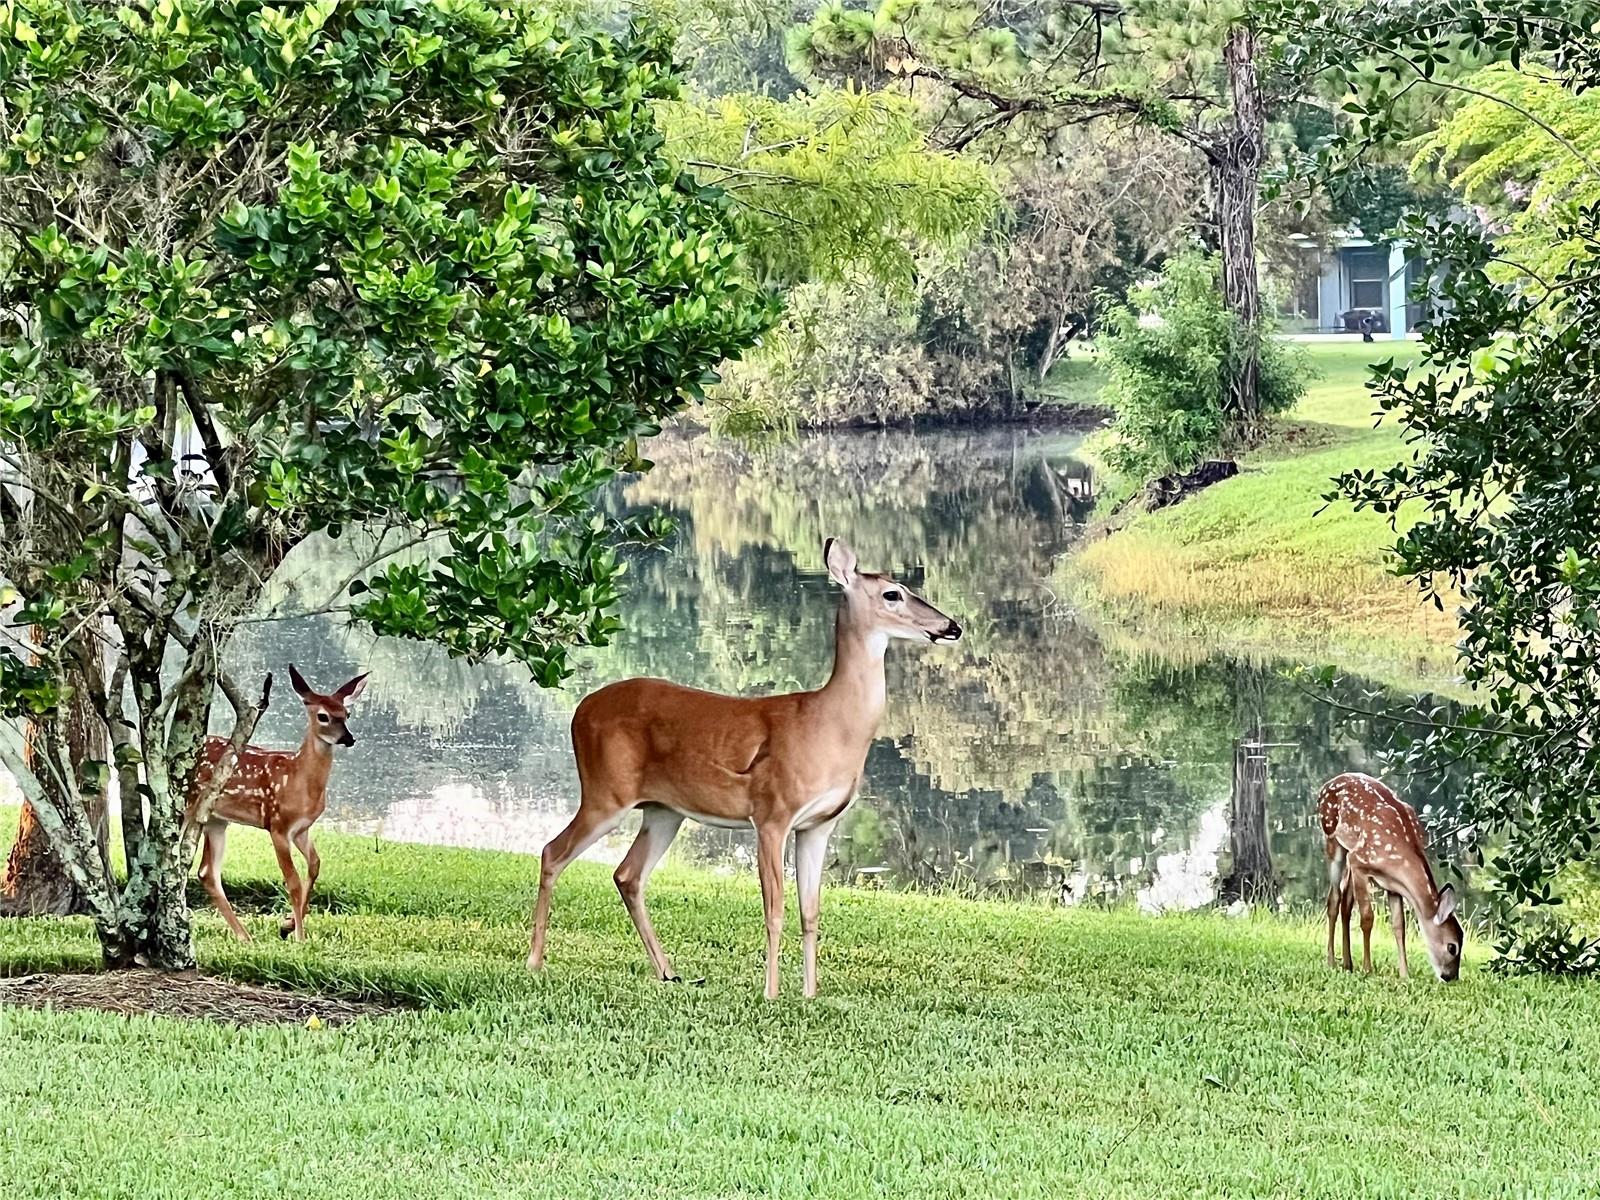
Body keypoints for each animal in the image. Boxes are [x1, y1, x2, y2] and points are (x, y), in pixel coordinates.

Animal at [190, 668, 368, 940]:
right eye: (323, 716)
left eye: (346, 714)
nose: (348, 738)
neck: (298, 778)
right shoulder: (278, 826)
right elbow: (292, 881)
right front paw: (300, 937)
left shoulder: (301, 829)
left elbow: (315, 865)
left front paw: (288, 925)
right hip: (190, 806)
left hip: (216, 820)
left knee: (207, 872)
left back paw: (244, 937)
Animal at [531, 540, 960, 998]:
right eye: (892, 594)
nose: (951, 626)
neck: (829, 725)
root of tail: (580, 710)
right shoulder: (772, 812)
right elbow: (775, 910)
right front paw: (771, 993)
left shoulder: (819, 824)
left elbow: (811, 913)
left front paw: (810, 994)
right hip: (605, 792)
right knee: (553, 852)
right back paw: (535, 961)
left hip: (664, 811)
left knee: (628, 874)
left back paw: (668, 972)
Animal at [1318, 774, 1459, 979]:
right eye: (1452, 947)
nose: (1450, 977)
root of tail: (1326, 785)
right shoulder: (1359, 860)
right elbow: (1367, 918)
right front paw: (1367, 969)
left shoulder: (1393, 885)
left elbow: (1399, 926)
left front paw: (1404, 974)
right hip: (1332, 838)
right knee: (1334, 899)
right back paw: (1331, 962)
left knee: (1346, 902)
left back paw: (1348, 963)